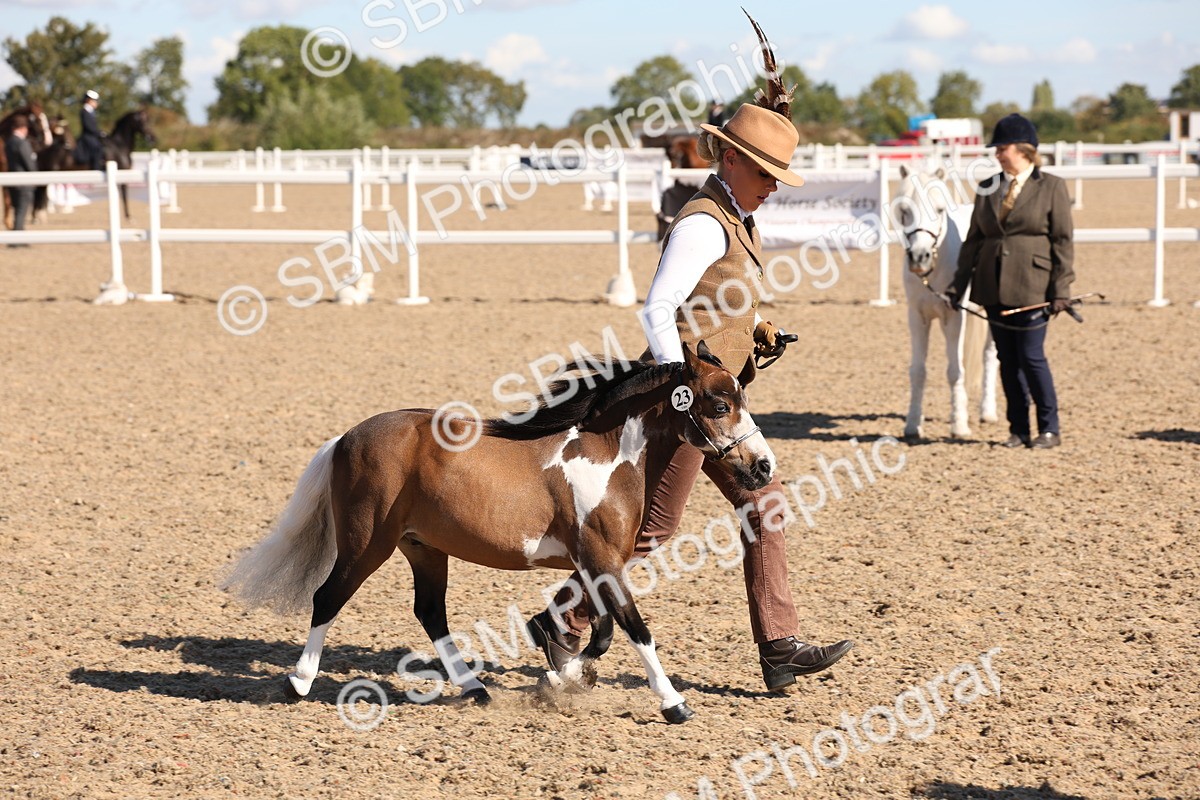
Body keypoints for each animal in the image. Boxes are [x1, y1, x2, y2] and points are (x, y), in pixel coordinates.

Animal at [222, 342, 774, 724]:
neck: (606, 457)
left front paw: (562, 676)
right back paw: (297, 683)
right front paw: (674, 704)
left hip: (424, 549)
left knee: (430, 612)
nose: (763, 467)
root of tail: (345, 439)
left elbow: (601, 631)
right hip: (367, 544)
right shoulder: (600, 560)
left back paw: (476, 689)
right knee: (328, 597)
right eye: (719, 405)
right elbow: (635, 629)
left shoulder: (596, 564)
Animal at [897, 163, 999, 440]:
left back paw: (988, 412)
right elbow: (917, 372)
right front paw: (912, 424)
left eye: (939, 209)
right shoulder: (916, 318)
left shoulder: (953, 317)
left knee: (990, 357)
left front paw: (959, 426)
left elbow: (955, 371)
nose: (919, 257)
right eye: (904, 211)